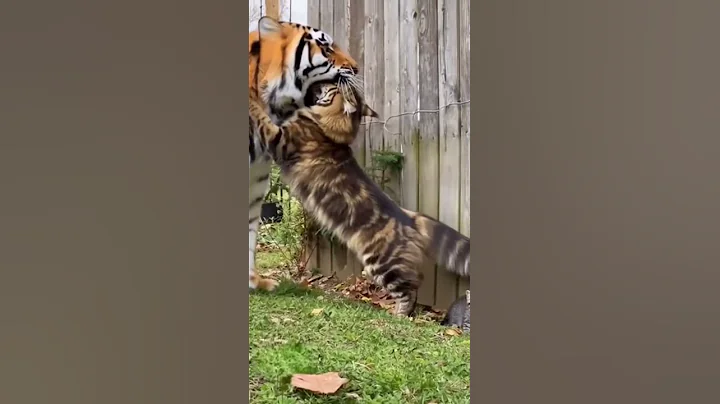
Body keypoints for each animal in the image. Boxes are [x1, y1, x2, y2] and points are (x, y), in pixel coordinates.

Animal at [248, 82, 471, 316]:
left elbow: (264, 119)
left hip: (382, 265)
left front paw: (253, 102)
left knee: (410, 287)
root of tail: (408, 217)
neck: (325, 130)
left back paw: (399, 315)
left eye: (334, 88)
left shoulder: (281, 140)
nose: (333, 81)